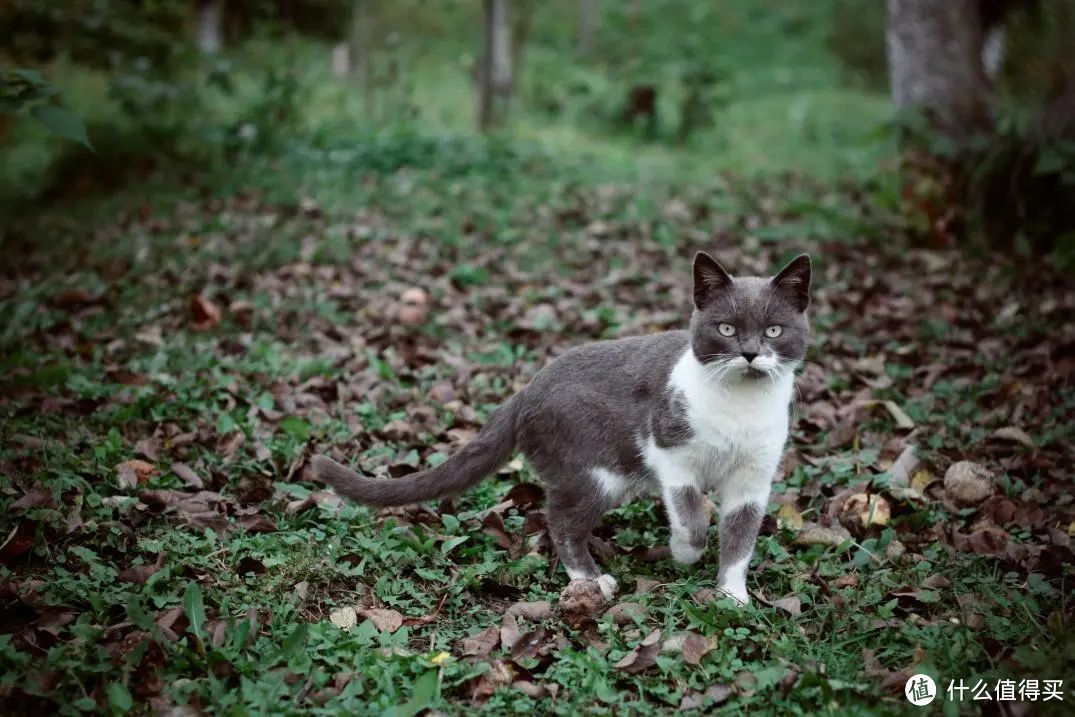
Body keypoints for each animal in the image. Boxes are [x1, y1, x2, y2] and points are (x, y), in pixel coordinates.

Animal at [307, 252, 808, 606]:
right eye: (725, 329)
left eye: (774, 331)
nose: (749, 353)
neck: (740, 408)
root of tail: (526, 390)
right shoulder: (669, 449)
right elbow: (691, 516)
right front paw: (685, 553)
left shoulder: (754, 477)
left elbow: (741, 534)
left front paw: (732, 595)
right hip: (593, 466)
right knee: (561, 521)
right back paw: (592, 580)